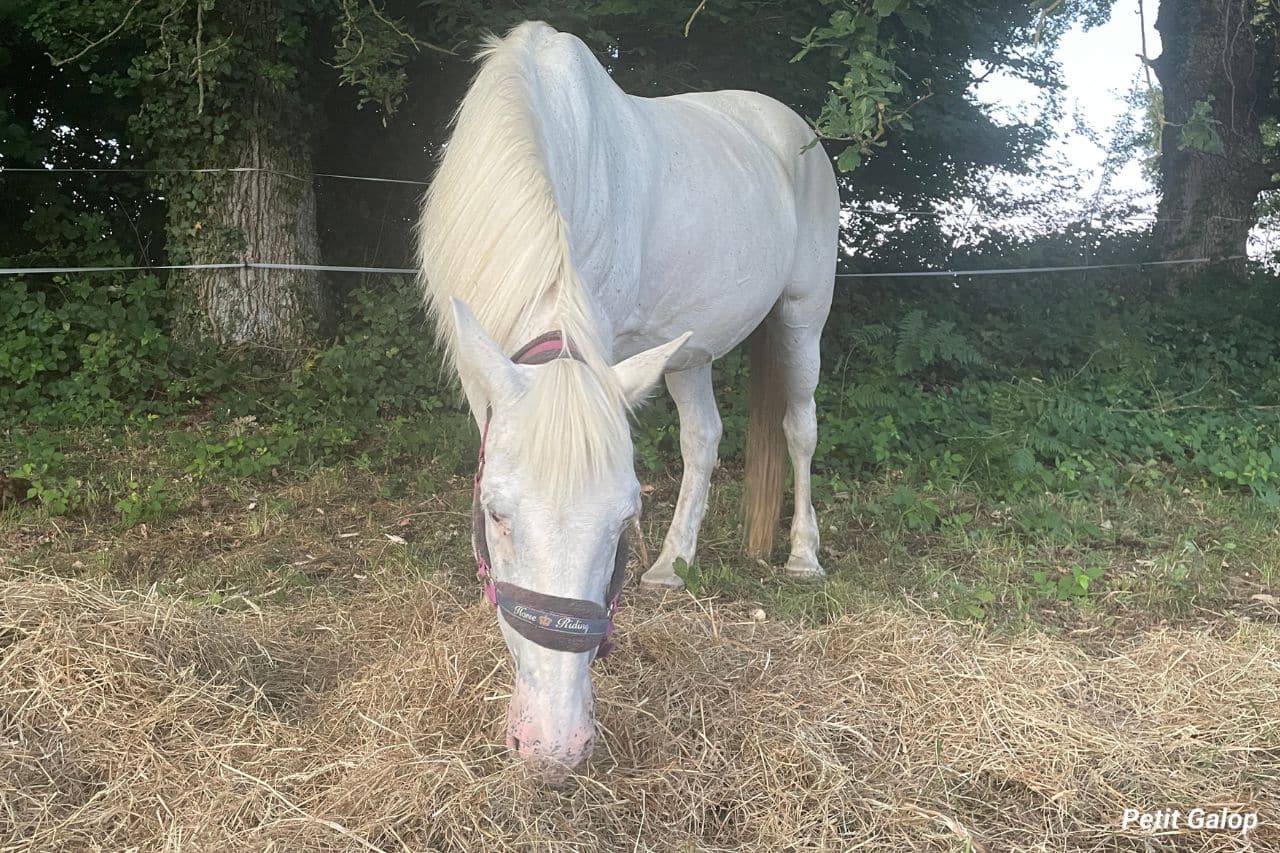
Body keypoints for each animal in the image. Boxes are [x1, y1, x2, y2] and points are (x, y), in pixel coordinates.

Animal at [416, 21, 838, 783]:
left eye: (622, 520)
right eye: (495, 514)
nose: (554, 745)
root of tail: (792, 127)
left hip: (802, 317)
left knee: (800, 430)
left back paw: (802, 555)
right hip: (688, 351)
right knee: (704, 436)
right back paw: (673, 565)